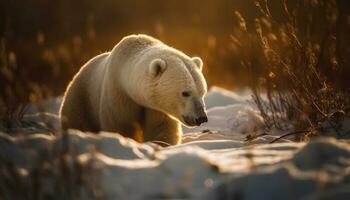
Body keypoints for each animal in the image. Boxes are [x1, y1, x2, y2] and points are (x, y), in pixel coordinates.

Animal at [59, 34, 208, 145]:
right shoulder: (118, 96)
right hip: (81, 100)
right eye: (185, 93)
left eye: (202, 92)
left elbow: (161, 128)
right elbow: (121, 126)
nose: (201, 118)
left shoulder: (156, 107)